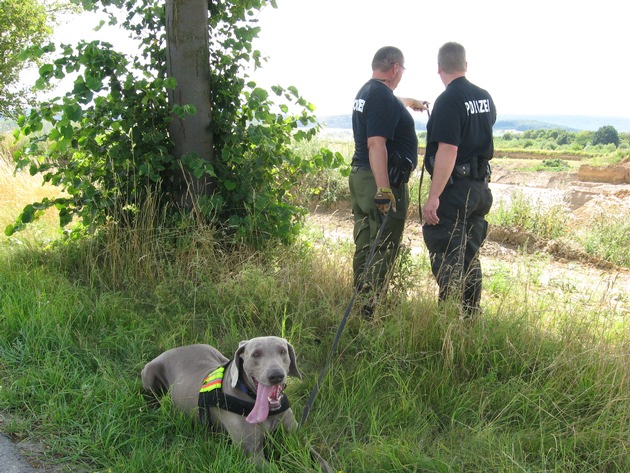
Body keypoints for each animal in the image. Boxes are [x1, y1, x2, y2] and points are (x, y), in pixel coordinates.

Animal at [141, 336, 304, 464]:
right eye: (256, 354)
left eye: (282, 351)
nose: (276, 375)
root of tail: (179, 347)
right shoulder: (251, 453)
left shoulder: (295, 433)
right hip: (148, 372)